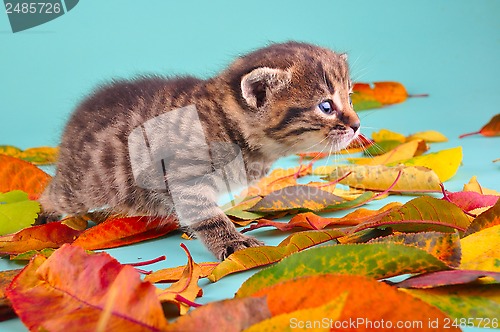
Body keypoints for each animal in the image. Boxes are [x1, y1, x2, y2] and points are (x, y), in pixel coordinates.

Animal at [39, 41, 360, 260]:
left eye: (350, 98)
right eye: (326, 106)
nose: (357, 126)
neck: (229, 123)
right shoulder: (184, 176)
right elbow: (208, 216)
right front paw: (234, 242)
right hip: (85, 186)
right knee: (51, 193)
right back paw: (43, 218)